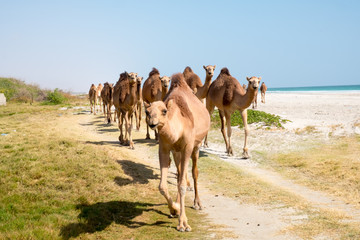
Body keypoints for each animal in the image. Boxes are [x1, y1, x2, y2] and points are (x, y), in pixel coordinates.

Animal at [144, 72, 211, 231]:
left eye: (164, 111)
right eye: (147, 112)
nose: (152, 123)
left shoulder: (188, 146)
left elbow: (182, 185)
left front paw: (183, 224)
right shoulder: (164, 148)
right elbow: (163, 185)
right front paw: (174, 209)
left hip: (196, 146)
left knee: (193, 172)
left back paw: (197, 203)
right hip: (177, 152)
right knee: (180, 173)